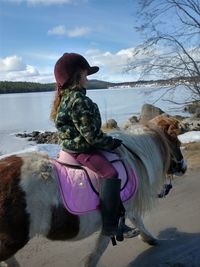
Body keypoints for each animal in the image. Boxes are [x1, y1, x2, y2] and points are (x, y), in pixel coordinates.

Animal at [0, 117, 186, 267]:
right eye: (176, 143)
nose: (184, 167)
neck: (133, 159)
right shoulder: (114, 217)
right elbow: (98, 250)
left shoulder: (126, 208)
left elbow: (137, 221)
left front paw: (149, 238)